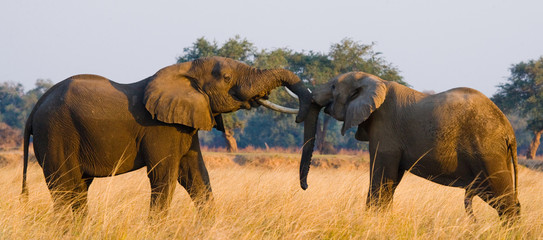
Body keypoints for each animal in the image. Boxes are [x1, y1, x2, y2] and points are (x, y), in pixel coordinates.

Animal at [21, 56, 312, 216]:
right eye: (227, 77)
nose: (305, 187)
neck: (185, 70)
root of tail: (35, 107)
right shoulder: (160, 129)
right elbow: (164, 177)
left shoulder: (186, 123)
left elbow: (197, 176)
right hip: (56, 133)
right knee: (65, 189)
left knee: (78, 190)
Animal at [302, 71, 524, 221]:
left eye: (333, 87)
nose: (305, 187)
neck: (375, 80)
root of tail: (509, 131)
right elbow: (391, 181)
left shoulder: (385, 128)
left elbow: (382, 178)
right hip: (496, 156)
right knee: (505, 199)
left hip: (487, 152)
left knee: (504, 201)